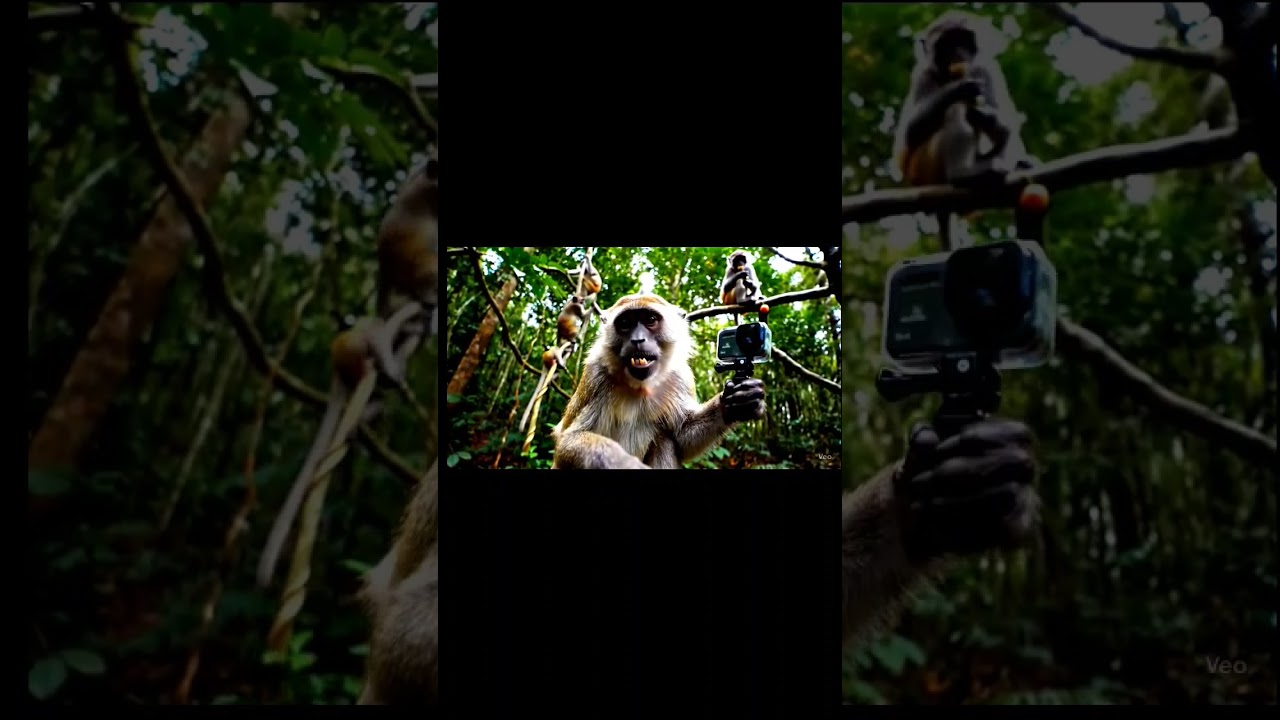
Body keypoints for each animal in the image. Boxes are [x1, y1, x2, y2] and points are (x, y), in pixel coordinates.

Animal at [551, 293, 766, 470]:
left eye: (650, 320)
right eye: (625, 322)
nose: (638, 340)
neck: (639, 386)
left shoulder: (680, 376)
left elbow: (682, 437)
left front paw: (737, 401)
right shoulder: (595, 376)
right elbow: (567, 442)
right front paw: (625, 463)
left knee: (664, 439)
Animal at [892, 10, 1033, 249]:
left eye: (964, 41)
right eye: (948, 43)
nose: (959, 52)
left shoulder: (986, 67)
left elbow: (1005, 119)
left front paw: (989, 118)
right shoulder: (922, 74)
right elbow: (908, 135)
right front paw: (959, 88)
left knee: (1004, 135)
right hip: (923, 169)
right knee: (954, 110)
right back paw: (962, 174)